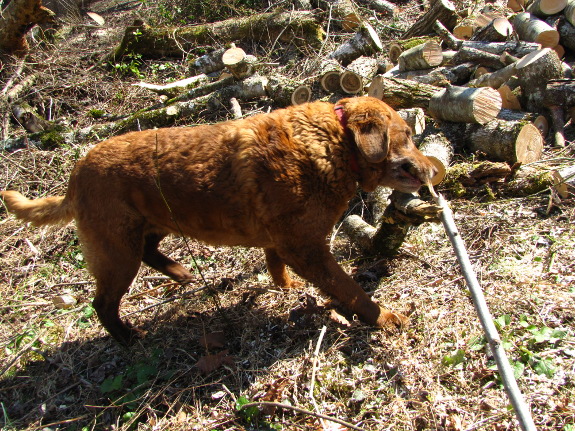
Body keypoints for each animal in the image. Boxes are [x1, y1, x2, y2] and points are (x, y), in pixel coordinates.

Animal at [2, 97, 438, 344]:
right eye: (406, 135)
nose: (434, 169)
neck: (332, 143)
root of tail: (75, 174)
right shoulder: (306, 248)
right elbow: (352, 291)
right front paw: (384, 318)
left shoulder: (283, 242)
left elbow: (275, 265)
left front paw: (285, 288)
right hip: (116, 251)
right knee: (103, 302)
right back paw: (128, 337)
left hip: (154, 224)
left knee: (150, 250)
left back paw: (180, 273)